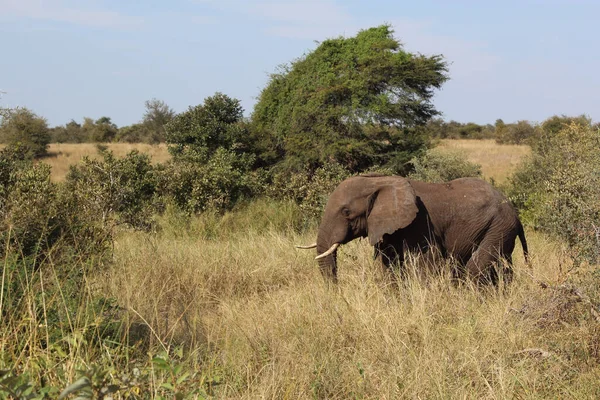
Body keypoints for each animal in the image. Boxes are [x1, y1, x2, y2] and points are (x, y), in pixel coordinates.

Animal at [298, 174, 528, 284]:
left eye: (346, 212)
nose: (337, 292)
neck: (379, 182)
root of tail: (515, 213)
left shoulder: (419, 224)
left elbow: (426, 265)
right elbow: (388, 266)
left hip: (497, 227)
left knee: (475, 269)